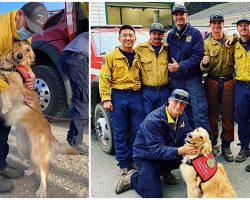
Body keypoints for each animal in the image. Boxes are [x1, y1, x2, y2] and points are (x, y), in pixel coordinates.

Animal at [0, 40, 77, 197]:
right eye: (18, 44)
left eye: (28, 49)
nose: (20, 56)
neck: (14, 66)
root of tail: (50, 134)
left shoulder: (19, 88)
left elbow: (5, 91)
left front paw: (6, 106)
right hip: (24, 146)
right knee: (34, 164)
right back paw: (30, 171)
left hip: (37, 151)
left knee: (44, 172)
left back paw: (42, 190)